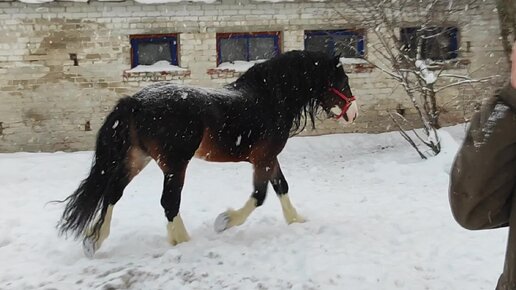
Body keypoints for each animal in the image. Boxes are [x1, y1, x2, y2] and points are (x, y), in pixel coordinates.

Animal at [55, 49, 354, 256]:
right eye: (342, 80)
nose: (354, 112)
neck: (269, 99)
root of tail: (135, 102)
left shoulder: (268, 159)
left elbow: (281, 186)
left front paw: (297, 220)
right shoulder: (263, 158)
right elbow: (260, 196)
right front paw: (225, 221)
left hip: (138, 158)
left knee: (113, 193)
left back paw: (94, 241)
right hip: (175, 164)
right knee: (168, 202)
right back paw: (183, 242)